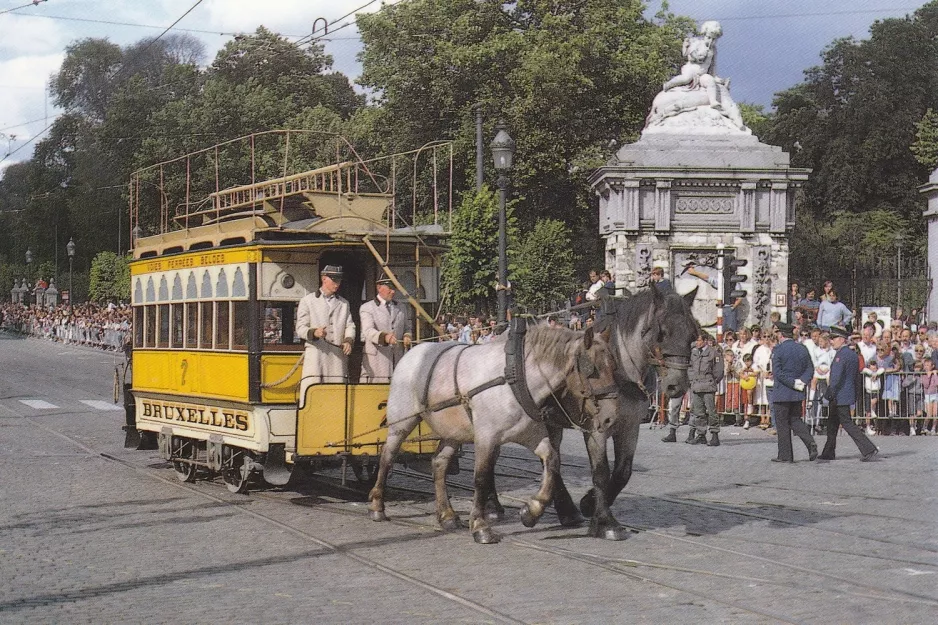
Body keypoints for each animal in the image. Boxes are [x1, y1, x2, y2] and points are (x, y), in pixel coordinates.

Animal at [368, 324, 620, 544]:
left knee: (439, 463)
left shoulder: (530, 435)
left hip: (454, 431)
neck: (514, 379)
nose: (611, 418)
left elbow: (552, 461)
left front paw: (532, 511)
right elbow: (481, 478)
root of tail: (412, 350)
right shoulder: (486, 438)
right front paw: (481, 526)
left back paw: (447, 515)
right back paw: (378, 506)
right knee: (388, 456)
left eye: (614, 366)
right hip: (401, 422)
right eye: (592, 369)